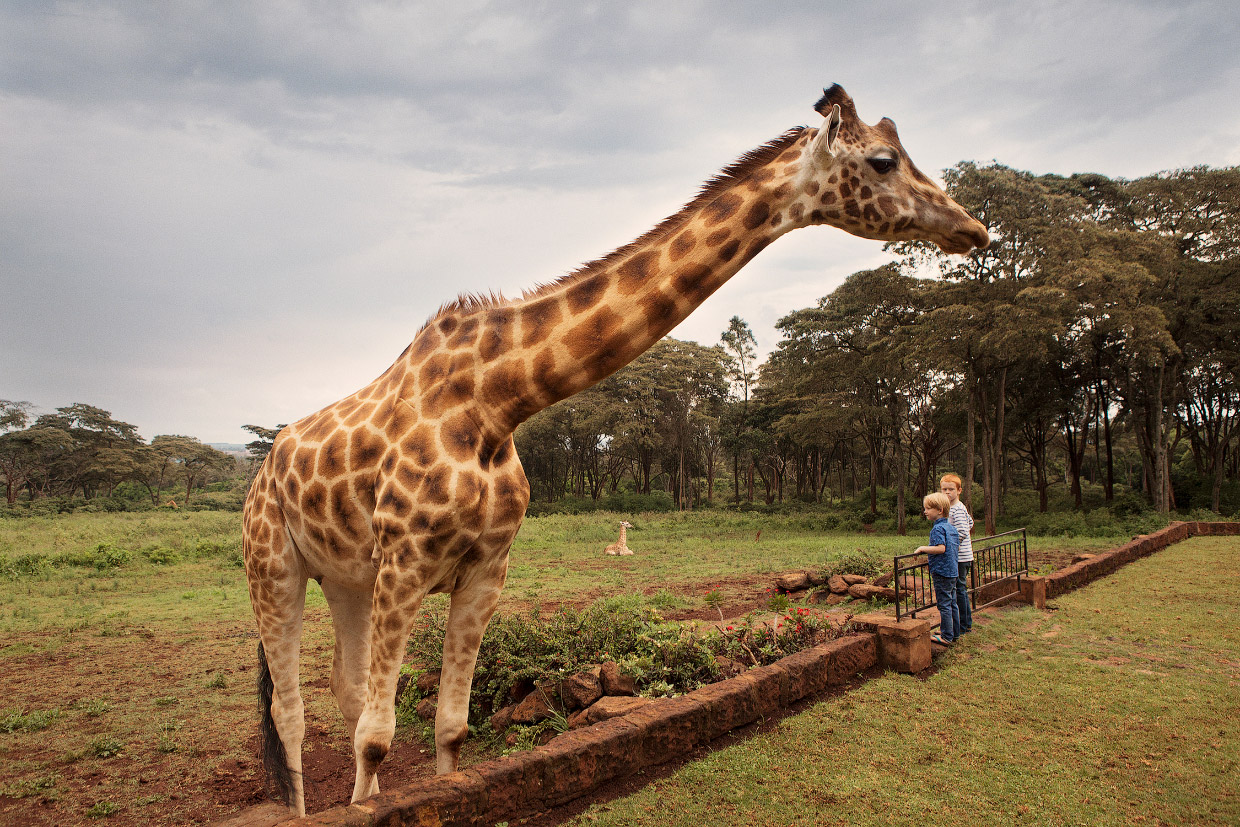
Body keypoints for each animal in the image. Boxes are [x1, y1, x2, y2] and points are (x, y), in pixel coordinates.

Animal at [246, 84, 992, 813]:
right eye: (883, 162)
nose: (972, 229)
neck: (496, 401)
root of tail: (263, 469)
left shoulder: (486, 568)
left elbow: (450, 728)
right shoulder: (405, 562)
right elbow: (378, 738)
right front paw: (367, 801)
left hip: (346, 576)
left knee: (342, 689)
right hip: (274, 565)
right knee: (291, 714)